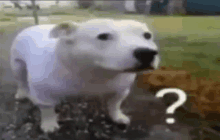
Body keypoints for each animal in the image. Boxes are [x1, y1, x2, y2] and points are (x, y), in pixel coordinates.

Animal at [9, 18, 160, 132]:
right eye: (103, 36)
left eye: (147, 35)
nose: (147, 53)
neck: (95, 72)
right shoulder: (42, 93)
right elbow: (47, 110)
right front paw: (49, 124)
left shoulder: (120, 90)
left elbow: (114, 104)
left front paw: (117, 116)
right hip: (17, 65)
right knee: (21, 80)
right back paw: (22, 93)